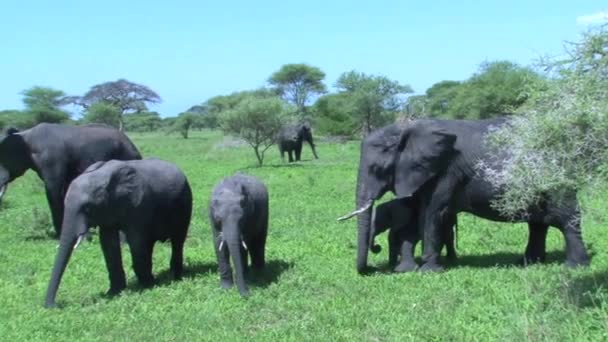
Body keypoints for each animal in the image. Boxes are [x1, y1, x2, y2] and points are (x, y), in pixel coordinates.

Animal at [0, 123, 142, 238]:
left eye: (4, 157)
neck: (25, 135)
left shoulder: (52, 160)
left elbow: (54, 191)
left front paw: (61, 235)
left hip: (126, 157)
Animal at [44, 159, 192, 308]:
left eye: (87, 208)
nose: (54, 306)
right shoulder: (108, 210)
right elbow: (108, 243)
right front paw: (113, 292)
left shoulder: (139, 205)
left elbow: (136, 241)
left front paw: (148, 286)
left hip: (184, 203)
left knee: (177, 240)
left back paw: (175, 276)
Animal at [338, 117, 588, 272]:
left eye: (377, 169)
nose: (370, 268)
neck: (407, 129)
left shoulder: (447, 169)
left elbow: (432, 213)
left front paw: (429, 271)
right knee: (538, 224)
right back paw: (527, 263)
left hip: (555, 179)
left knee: (566, 219)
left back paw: (575, 266)